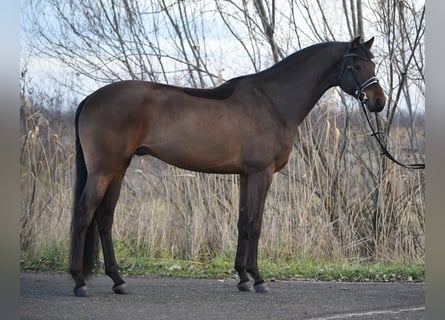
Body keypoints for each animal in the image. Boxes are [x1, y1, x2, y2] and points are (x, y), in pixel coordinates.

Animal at [70, 36, 386, 296]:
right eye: (357, 65)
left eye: (373, 63)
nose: (379, 101)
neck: (272, 102)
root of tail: (89, 98)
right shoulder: (261, 174)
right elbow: (256, 223)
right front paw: (258, 279)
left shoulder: (245, 175)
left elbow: (242, 222)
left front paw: (243, 277)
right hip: (103, 171)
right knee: (84, 214)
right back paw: (79, 281)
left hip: (118, 170)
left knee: (105, 219)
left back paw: (117, 280)